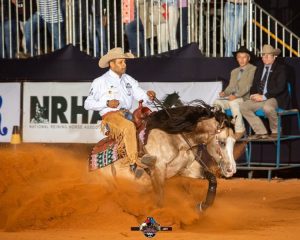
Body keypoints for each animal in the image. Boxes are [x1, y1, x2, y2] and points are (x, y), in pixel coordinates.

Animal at [89, 100, 237, 211]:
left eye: (234, 141)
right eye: (222, 142)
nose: (231, 170)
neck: (177, 138)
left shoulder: (186, 168)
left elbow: (212, 179)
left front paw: (202, 206)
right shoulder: (158, 170)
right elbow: (160, 198)